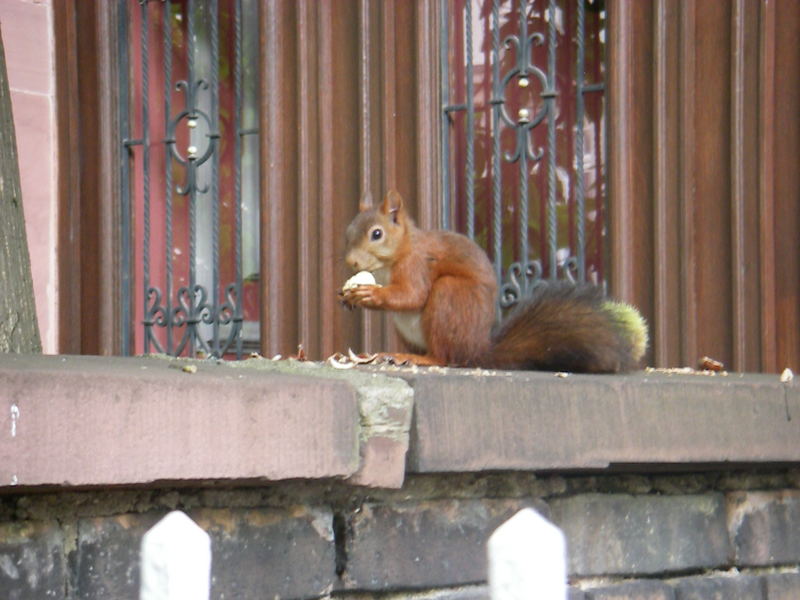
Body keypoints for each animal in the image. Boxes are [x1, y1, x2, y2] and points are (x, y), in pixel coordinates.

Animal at [340, 192, 648, 372]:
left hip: (449, 297)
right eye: (348, 232)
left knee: (447, 357)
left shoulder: (417, 265)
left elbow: (411, 295)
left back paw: (421, 358)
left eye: (377, 234)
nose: (351, 263)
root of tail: (479, 350)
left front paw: (369, 294)